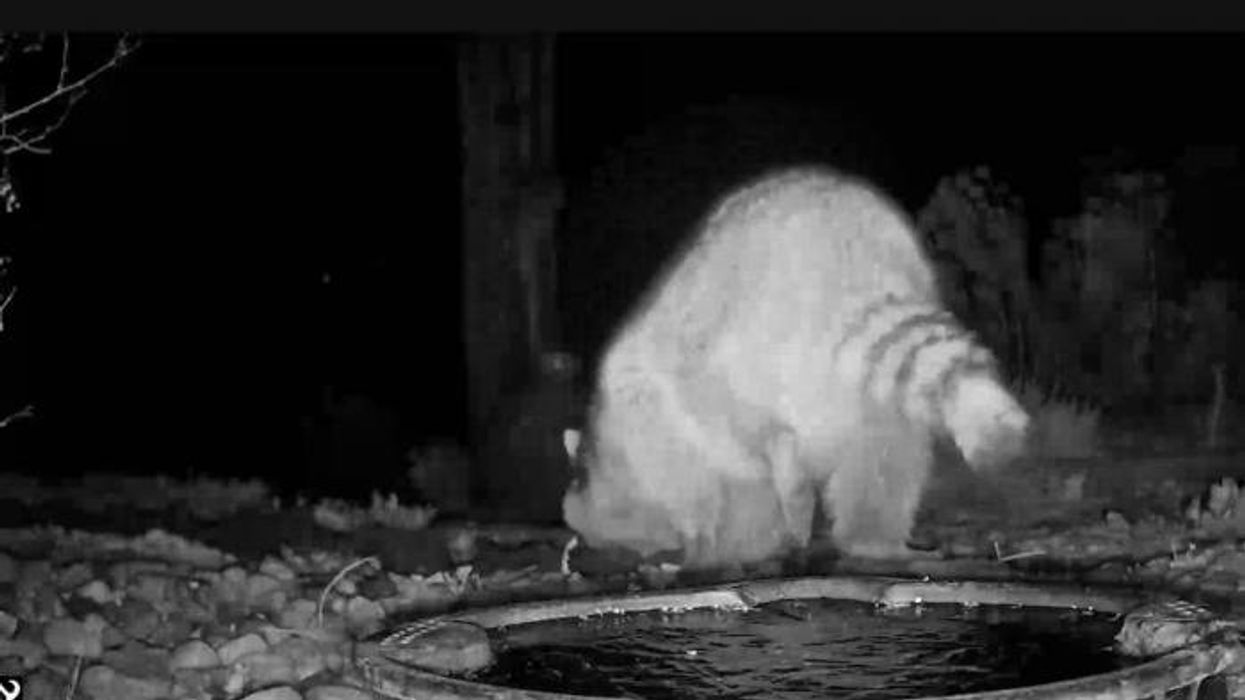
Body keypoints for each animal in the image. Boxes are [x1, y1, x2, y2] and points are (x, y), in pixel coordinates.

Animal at [562, 166, 1030, 568]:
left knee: (750, 424)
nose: (580, 554)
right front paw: (743, 545)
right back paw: (873, 541)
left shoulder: (660, 433)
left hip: (727, 344)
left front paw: (702, 547)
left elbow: (702, 491)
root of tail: (848, 263)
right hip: (871, 401)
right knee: (884, 466)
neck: (606, 458)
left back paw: (790, 476)